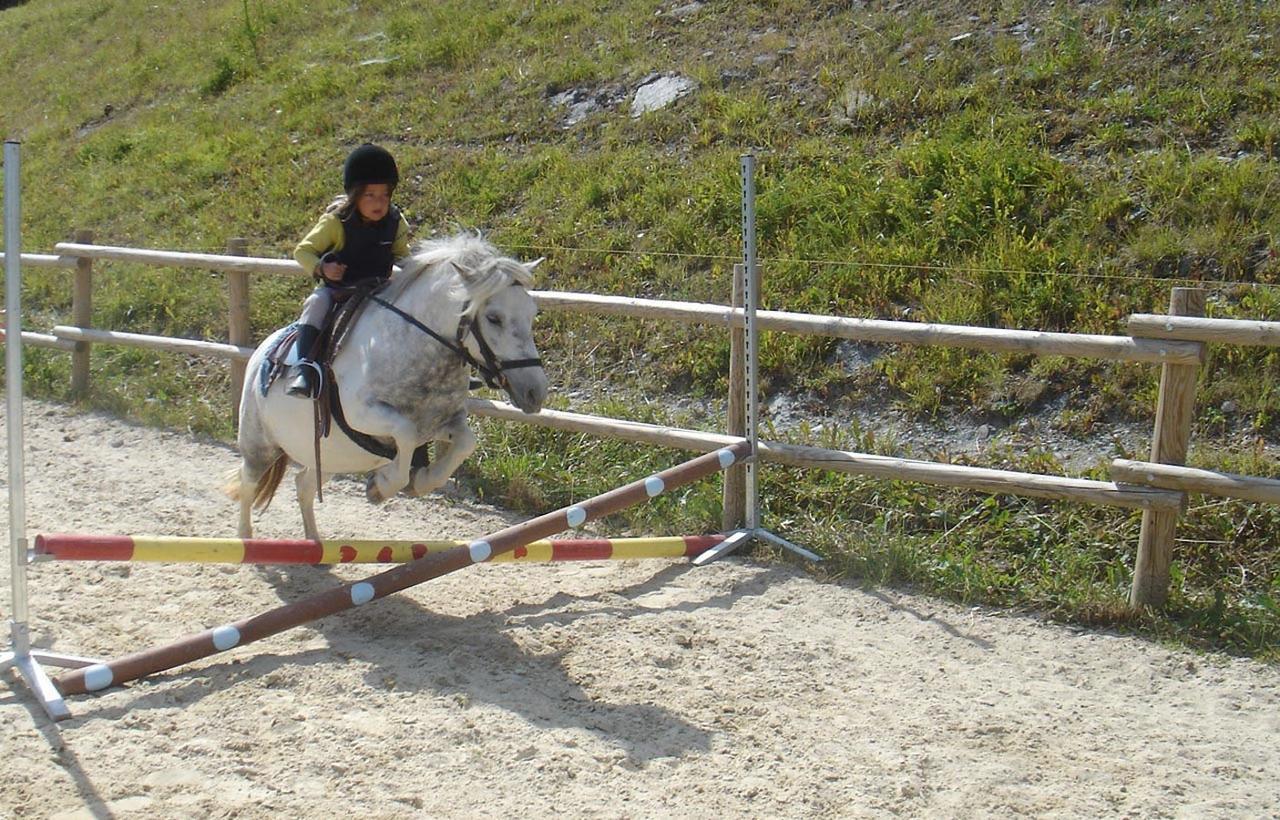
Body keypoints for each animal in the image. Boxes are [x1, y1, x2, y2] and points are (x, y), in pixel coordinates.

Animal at [227, 231, 547, 537]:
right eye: (494, 318)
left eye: (532, 314)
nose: (536, 392)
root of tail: (261, 351)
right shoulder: (363, 414)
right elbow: (404, 432)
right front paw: (382, 486)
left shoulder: (442, 423)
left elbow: (465, 442)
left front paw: (420, 482)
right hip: (260, 446)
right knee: (248, 484)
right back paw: (246, 537)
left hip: (330, 456)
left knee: (303, 484)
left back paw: (314, 541)